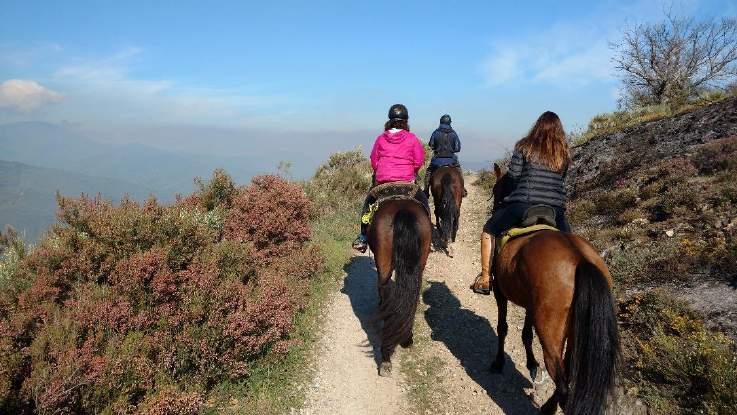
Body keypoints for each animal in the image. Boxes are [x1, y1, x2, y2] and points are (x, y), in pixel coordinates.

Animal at [366, 198, 432, 376]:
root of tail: (403, 210)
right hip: (420, 261)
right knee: (413, 295)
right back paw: (406, 337)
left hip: (383, 263)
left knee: (385, 289)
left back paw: (386, 357)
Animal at [488, 164, 620, 414]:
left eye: (495, 189)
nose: (493, 207)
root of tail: (580, 259)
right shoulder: (530, 304)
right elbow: (525, 333)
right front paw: (532, 365)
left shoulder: (501, 294)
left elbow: (503, 327)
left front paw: (498, 362)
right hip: (573, 331)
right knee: (566, 374)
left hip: (550, 331)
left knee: (563, 383)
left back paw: (547, 408)